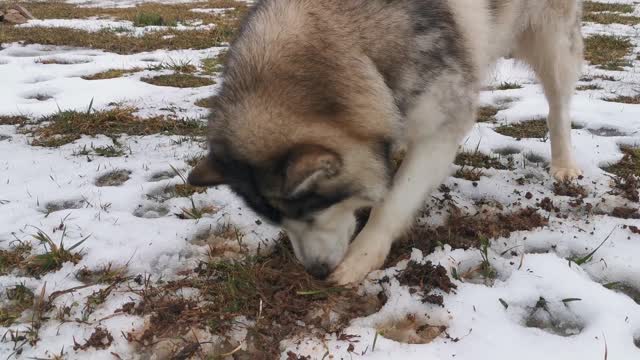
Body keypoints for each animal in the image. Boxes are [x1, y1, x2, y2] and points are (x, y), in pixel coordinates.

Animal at [189, 0, 584, 286]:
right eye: (276, 220)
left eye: (313, 209)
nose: (315, 272)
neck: (357, 48)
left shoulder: (440, 129)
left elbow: (394, 201)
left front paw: (363, 255)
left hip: (553, 41)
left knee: (558, 105)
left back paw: (565, 163)